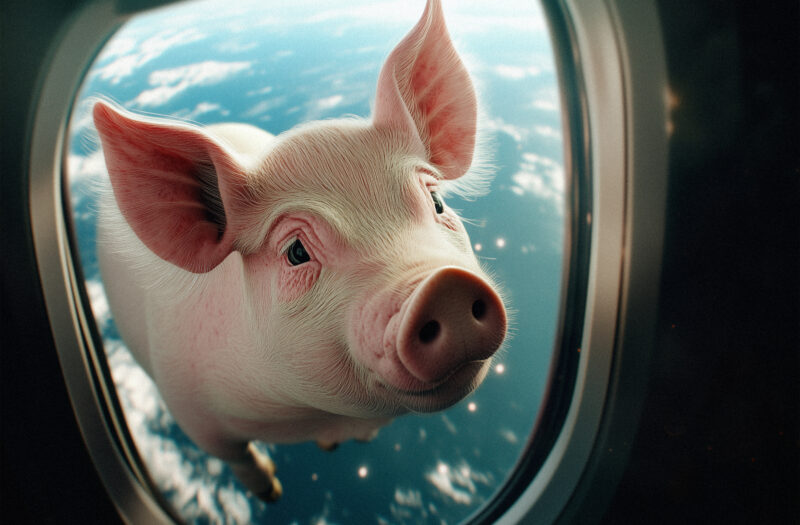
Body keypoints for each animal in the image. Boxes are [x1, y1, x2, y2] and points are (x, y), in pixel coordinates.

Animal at [93, 0, 506, 502]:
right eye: (295, 252)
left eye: (438, 201)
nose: (445, 284)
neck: (309, 418)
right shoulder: (188, 408)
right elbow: (235, 455)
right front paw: (271, 493)